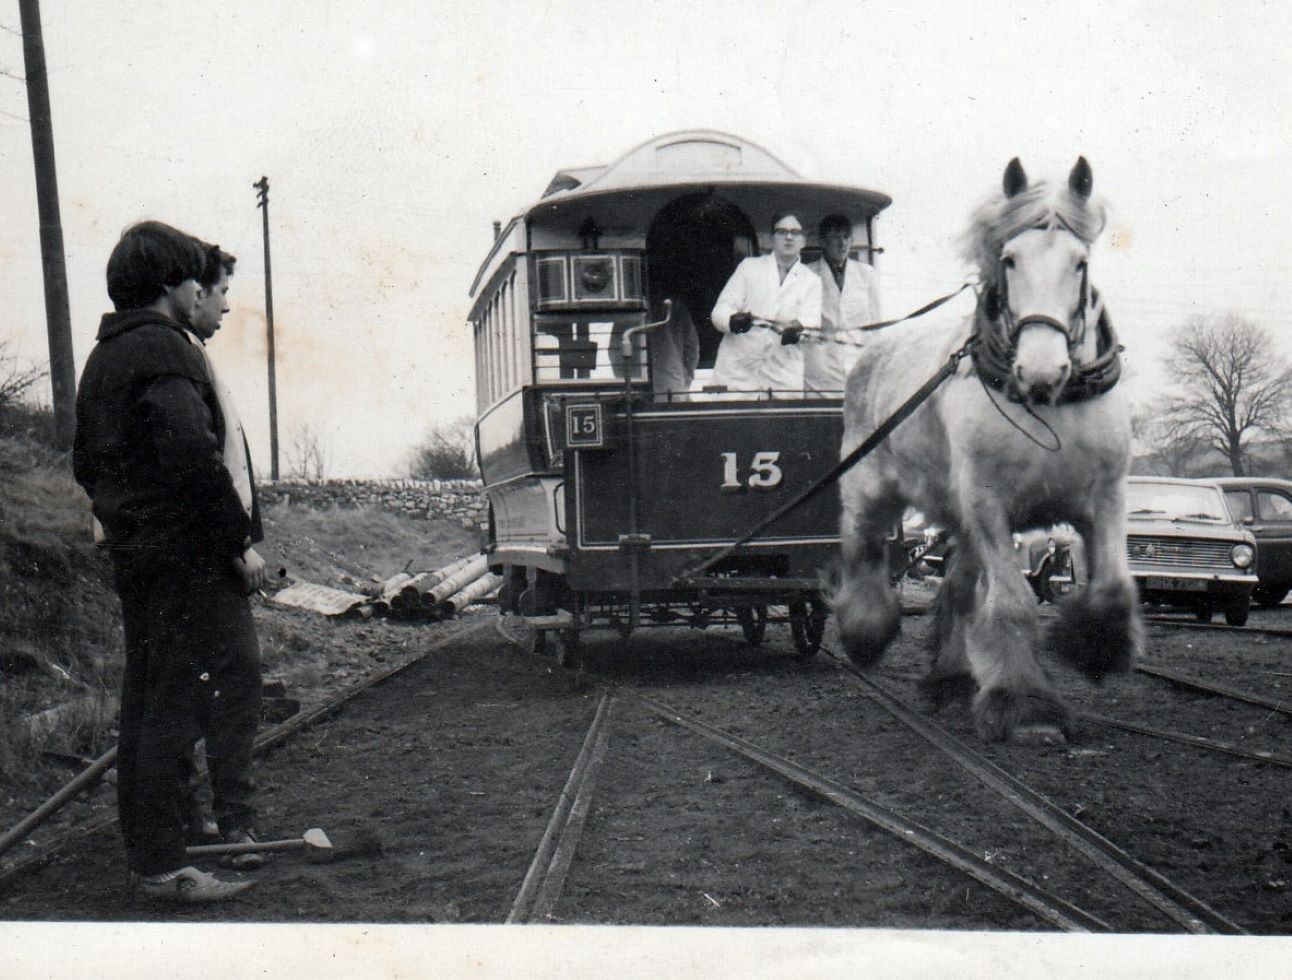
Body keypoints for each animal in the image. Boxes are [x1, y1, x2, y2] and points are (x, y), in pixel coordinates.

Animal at [832, 156, 1136, 738]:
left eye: (1080, 263)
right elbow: (1013, 602)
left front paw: (1095, 649)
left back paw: (949, 678)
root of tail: (873, 349)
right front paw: (1023, 703)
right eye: (1010, 260)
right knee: (864, 551)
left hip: (957, 514)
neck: (1053, 406)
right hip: (869, 491)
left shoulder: (1105, 499)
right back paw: (864, 631)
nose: (1041, 370)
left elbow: (1111, 588)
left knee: (955, 588)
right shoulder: (989, 504)